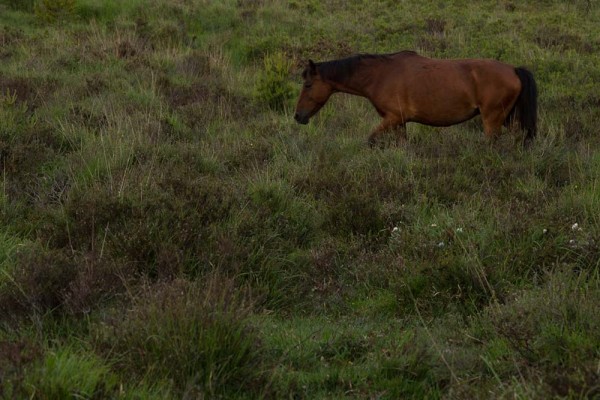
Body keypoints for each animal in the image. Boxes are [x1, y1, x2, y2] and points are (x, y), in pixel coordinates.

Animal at [292, 51, 536, 147]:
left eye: (308, 85)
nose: (298, 116)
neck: (380, 75)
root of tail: (514, 70)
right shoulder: (399, 122)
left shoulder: (392, 118)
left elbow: (370, 140)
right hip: (508, 118)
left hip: (492, 120)